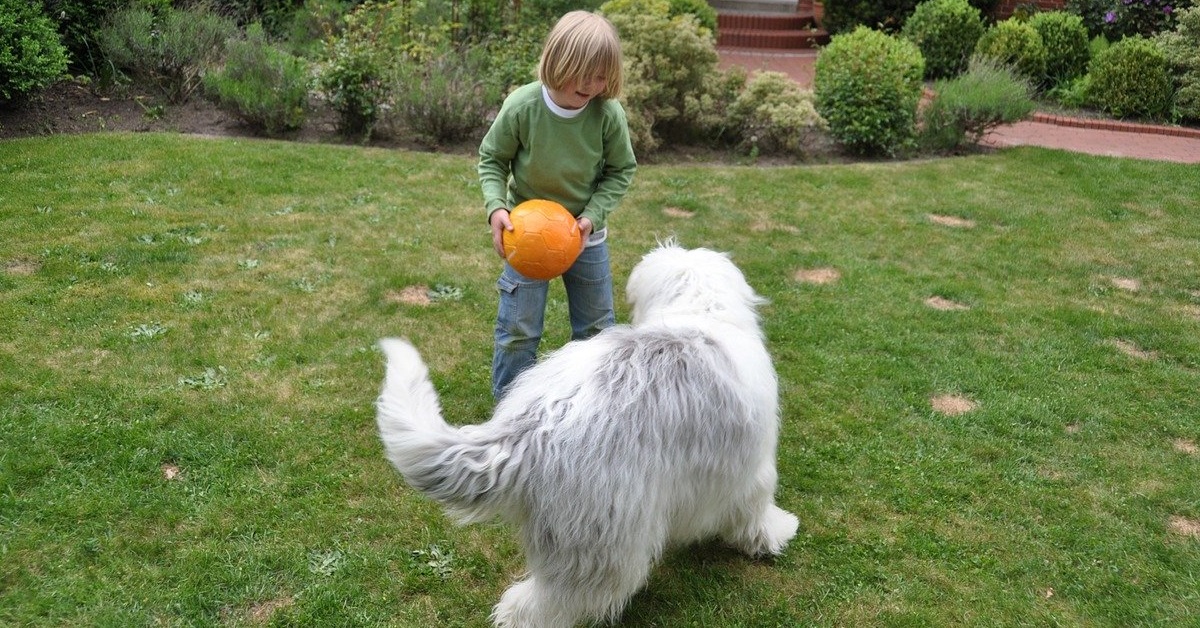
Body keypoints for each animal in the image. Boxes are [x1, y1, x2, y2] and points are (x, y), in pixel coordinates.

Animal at [376, 242, 796, 628]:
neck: (698, 309)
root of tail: (531, 429)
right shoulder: (750, 467)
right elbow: (754, 508)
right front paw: (774, 534)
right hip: (602, 539)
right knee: (551, 602)